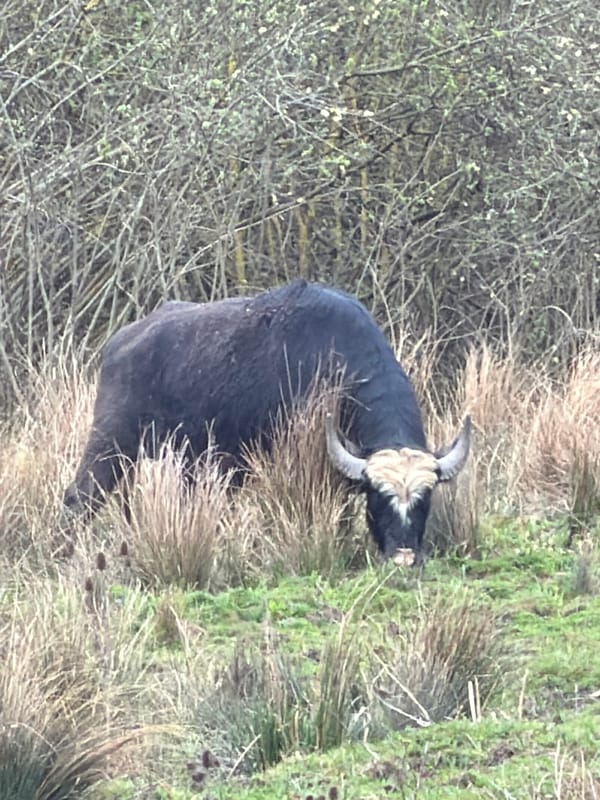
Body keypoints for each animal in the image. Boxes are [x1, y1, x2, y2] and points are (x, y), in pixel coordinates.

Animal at [64, 280, 470, 565]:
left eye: (424, 501)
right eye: (378, 501)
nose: (403, 558)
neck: (336, 364)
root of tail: (120, 343)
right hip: (110, 445)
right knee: (77, 499)